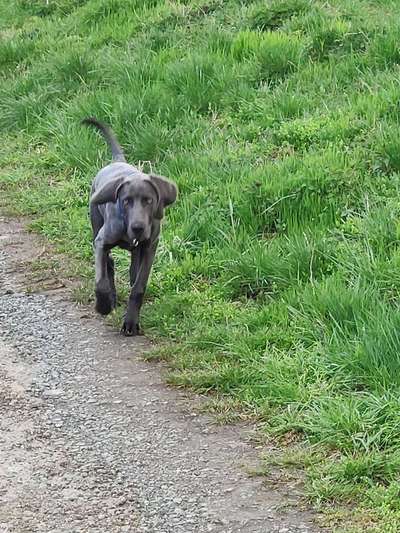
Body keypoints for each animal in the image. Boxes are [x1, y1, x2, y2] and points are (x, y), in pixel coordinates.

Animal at [82, 118, 177, 334]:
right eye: (126, 201)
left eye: (148, 201)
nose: (138, 227)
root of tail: (117, 161)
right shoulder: (101, 241)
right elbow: (101, 281)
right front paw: (104, 305)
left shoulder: (150, 246)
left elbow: (138, 286)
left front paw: (131, 321)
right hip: (96, 223)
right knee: (108, 262)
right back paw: (111, 298)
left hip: (138, 250)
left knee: (133, 273)